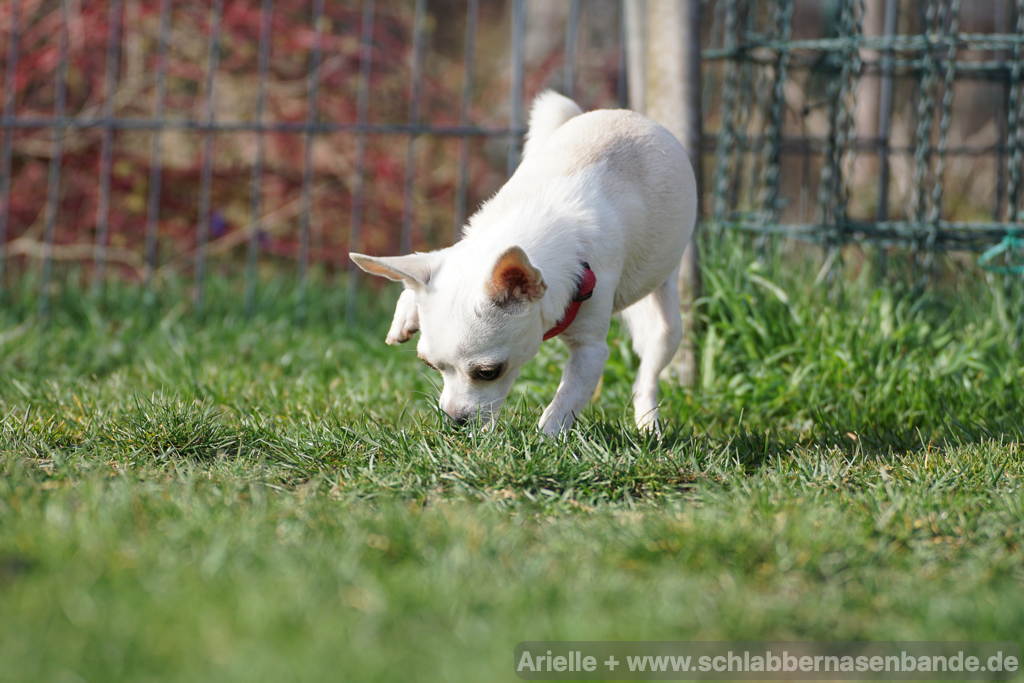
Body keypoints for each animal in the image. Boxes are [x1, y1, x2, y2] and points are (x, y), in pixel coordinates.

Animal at [350, 90, 696, 436]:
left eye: (488, 372)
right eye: (430, 365)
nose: (455, 421)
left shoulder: (591, 350)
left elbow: (566, 400)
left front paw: (545, 438)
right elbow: (425, 268)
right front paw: (407, 311)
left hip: (667, 328)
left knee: (647, 376)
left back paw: (648, 424)